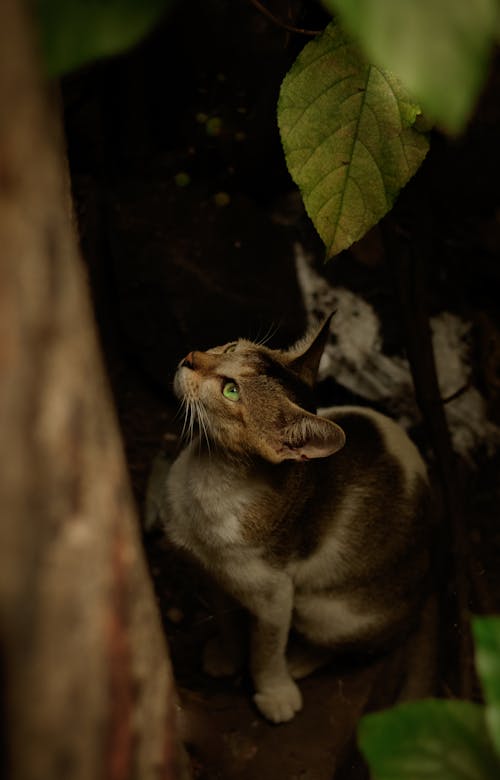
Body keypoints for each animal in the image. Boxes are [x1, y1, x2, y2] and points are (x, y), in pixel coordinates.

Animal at [156, 316, 430, 724]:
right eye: (229, 347)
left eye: (231, 391)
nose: (190, 356)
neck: (210, 477)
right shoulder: (212, 574)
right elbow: (226, 619)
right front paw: (225, 655)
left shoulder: (275, 596)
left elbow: (265, 649)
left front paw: (275, 692)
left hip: (324, 610)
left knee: (347, 644)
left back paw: (299, 661)